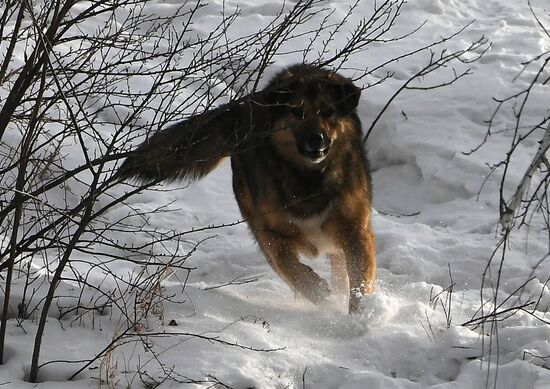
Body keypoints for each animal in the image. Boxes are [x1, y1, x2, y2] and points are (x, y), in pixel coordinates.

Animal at [118, 63, 378, 312]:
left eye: (328, 111)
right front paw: (316, 290)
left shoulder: (355, 231)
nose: (317, 140)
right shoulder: (268, 232)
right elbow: (287, 263)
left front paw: (360, 316)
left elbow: (358, 280)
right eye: (297, 111)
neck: (308, 178)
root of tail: (249, 105)